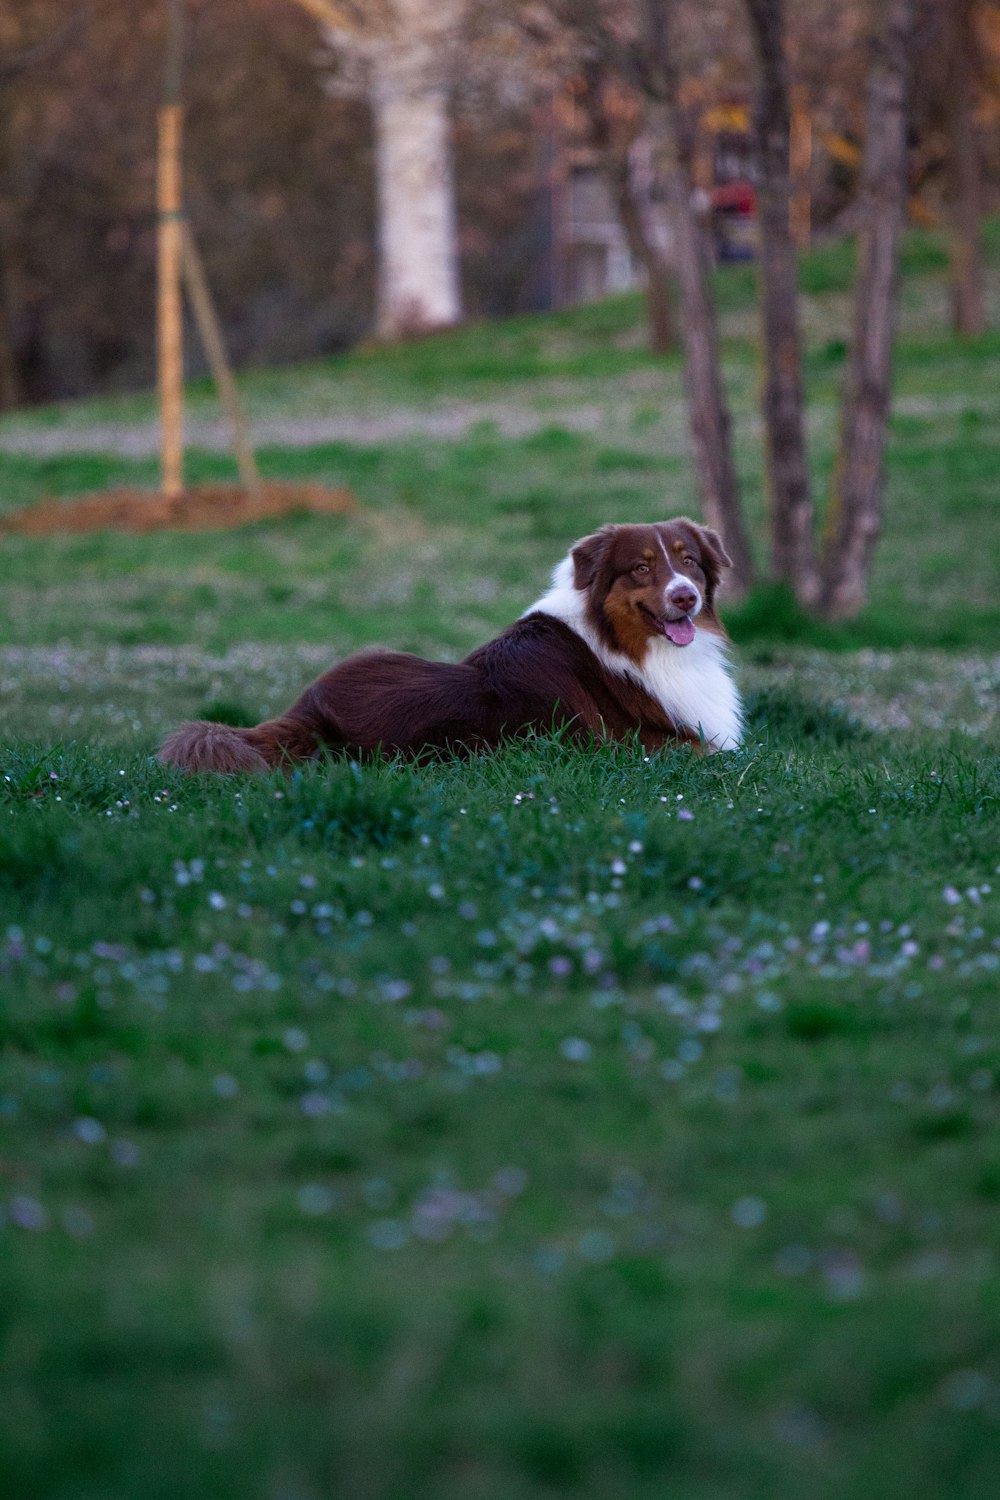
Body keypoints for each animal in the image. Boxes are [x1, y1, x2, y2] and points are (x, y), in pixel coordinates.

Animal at [158, 516, 743, 774]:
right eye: (640, 568)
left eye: (688, 560)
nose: (686, 596)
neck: (620, 641)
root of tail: (308, 708)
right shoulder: (637, 747)